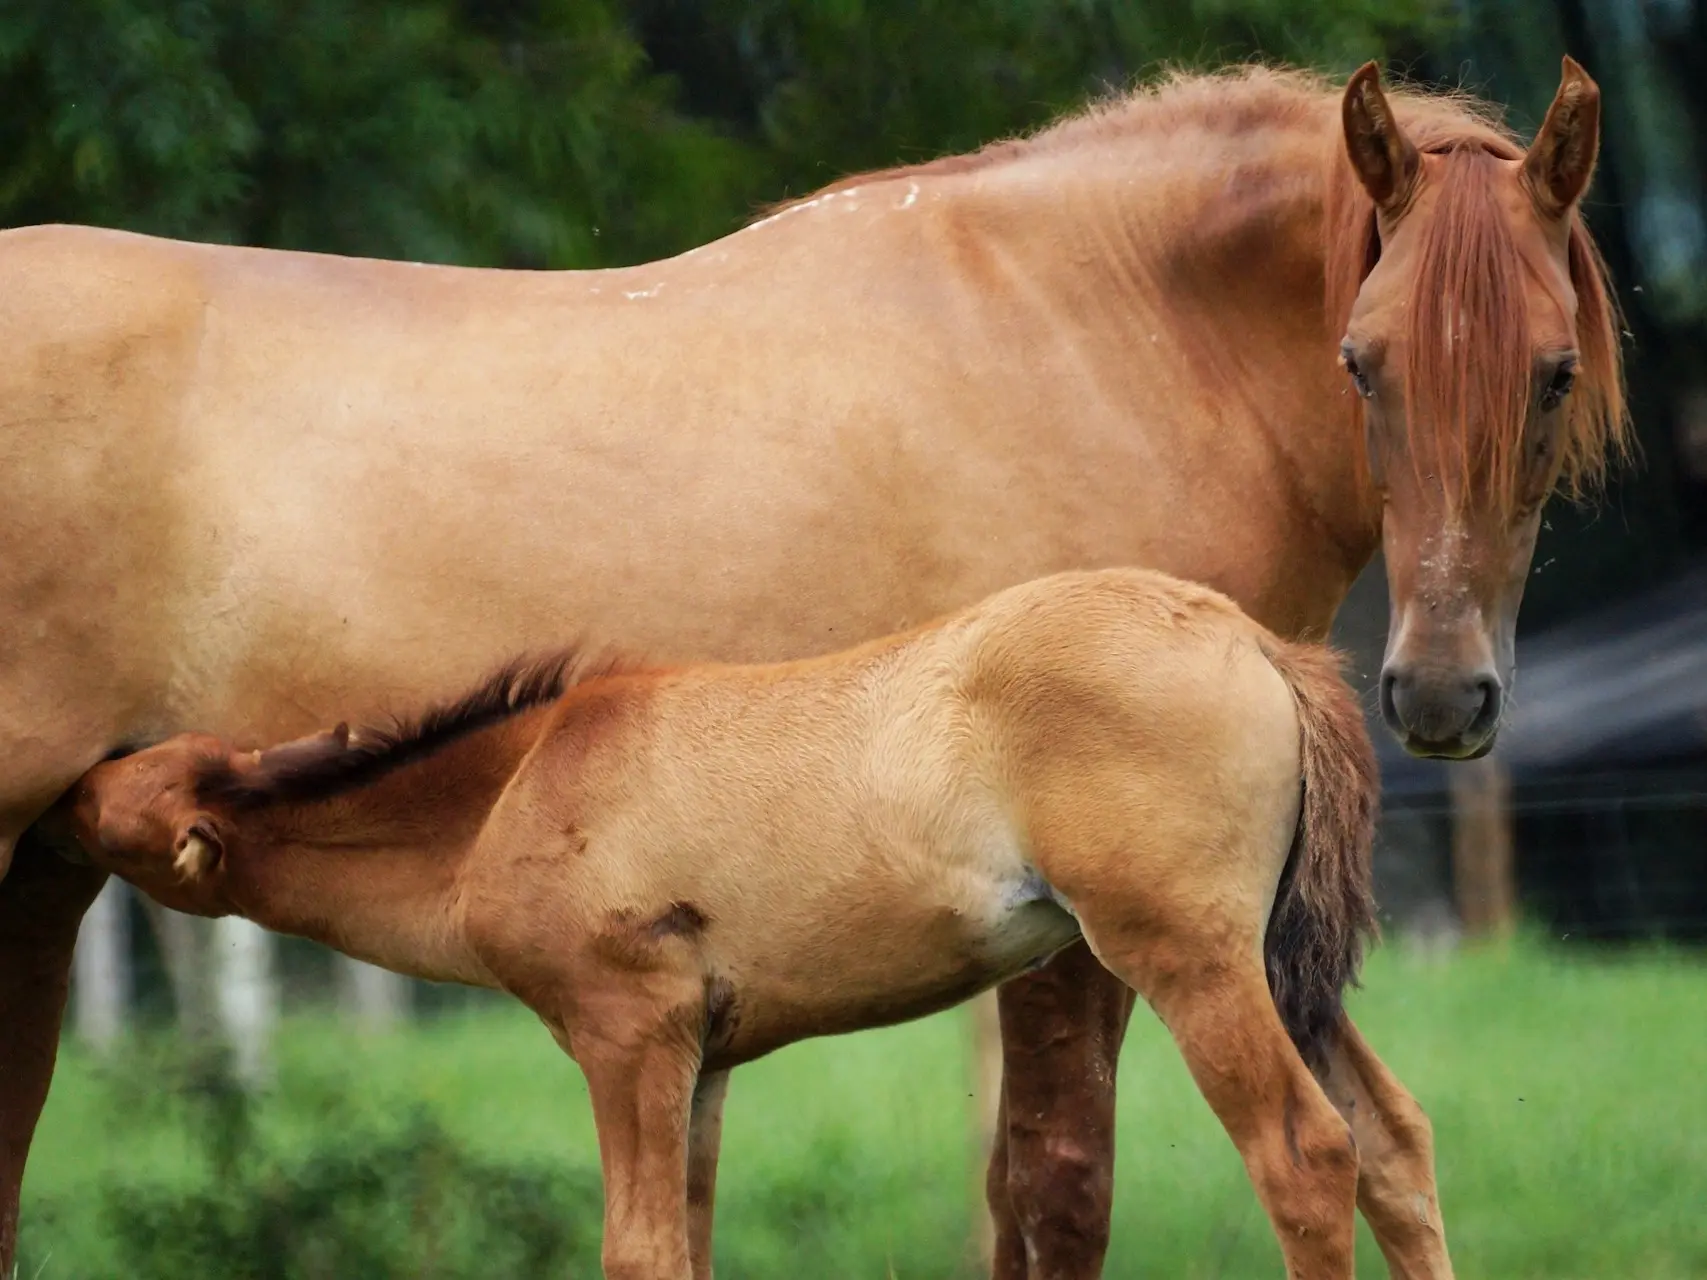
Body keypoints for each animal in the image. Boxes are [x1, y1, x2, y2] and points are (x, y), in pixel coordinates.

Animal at [56, 570, 1386, 1280]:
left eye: (115, 800)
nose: (61, 785)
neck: (515, 786)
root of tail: (1254, 638)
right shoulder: (701, 1062)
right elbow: (687, 1244)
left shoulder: (626, 1039)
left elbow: (638, 1251)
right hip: (1281, 968)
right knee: (1393, 1143)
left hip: (1189, 958)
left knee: (1309, 1154)